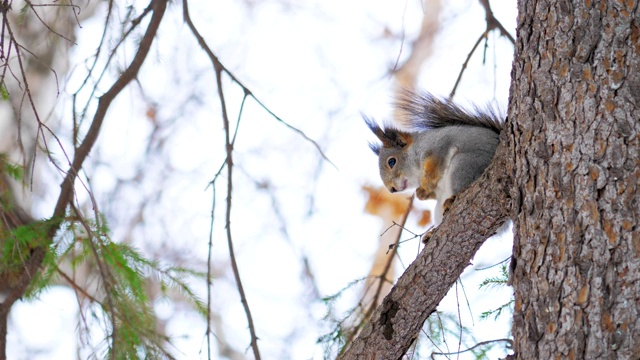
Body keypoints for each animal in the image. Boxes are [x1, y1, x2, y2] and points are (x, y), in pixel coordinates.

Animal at [362, 91, 502, 224]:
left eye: (391, 162)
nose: (391, 189)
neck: (417, 172)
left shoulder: (438, 146)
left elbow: (435, 165)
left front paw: (426, 184)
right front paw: (421, 193)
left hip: (465, 165)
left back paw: (451, 199)